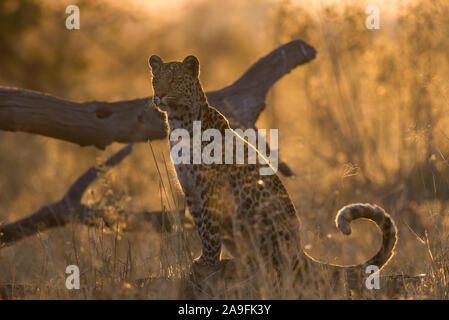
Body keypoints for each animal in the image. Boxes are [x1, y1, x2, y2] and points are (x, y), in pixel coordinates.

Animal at [149, 53, 398, 296]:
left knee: (275, 271)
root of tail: (300, 253)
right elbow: (201, 228)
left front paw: (207, 266)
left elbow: (209, 231)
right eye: (155, 80)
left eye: (173, 80)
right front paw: (203, 262)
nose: (159, 95)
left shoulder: (211, 190)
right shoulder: (191, 190)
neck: (179, 122)